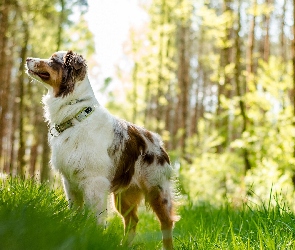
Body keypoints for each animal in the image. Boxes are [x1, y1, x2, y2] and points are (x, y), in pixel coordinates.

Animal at [26, 50, 178, 248]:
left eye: (53, 60)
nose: (27, 59)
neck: (75, 115)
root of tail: (157, 141)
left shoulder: (94, 182)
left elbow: (95, 218)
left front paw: (92, 238)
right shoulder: (70, 182)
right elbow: (75, 213)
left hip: (157, 190)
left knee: (166, 222)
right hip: (124, 196)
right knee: (132, 221)